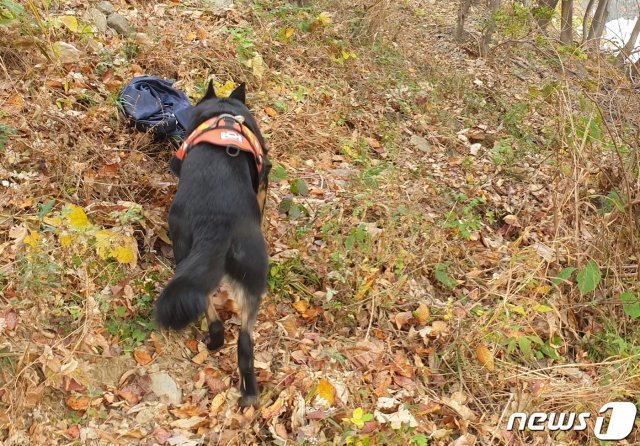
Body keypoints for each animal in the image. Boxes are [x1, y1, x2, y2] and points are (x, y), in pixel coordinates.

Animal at [158, 83, 272, 408]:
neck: (225, 111)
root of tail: (217, 224)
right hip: (253, 279)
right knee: (245, 343)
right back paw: (249, 391)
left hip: (183, 251)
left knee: (208, 307)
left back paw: (214, 339)